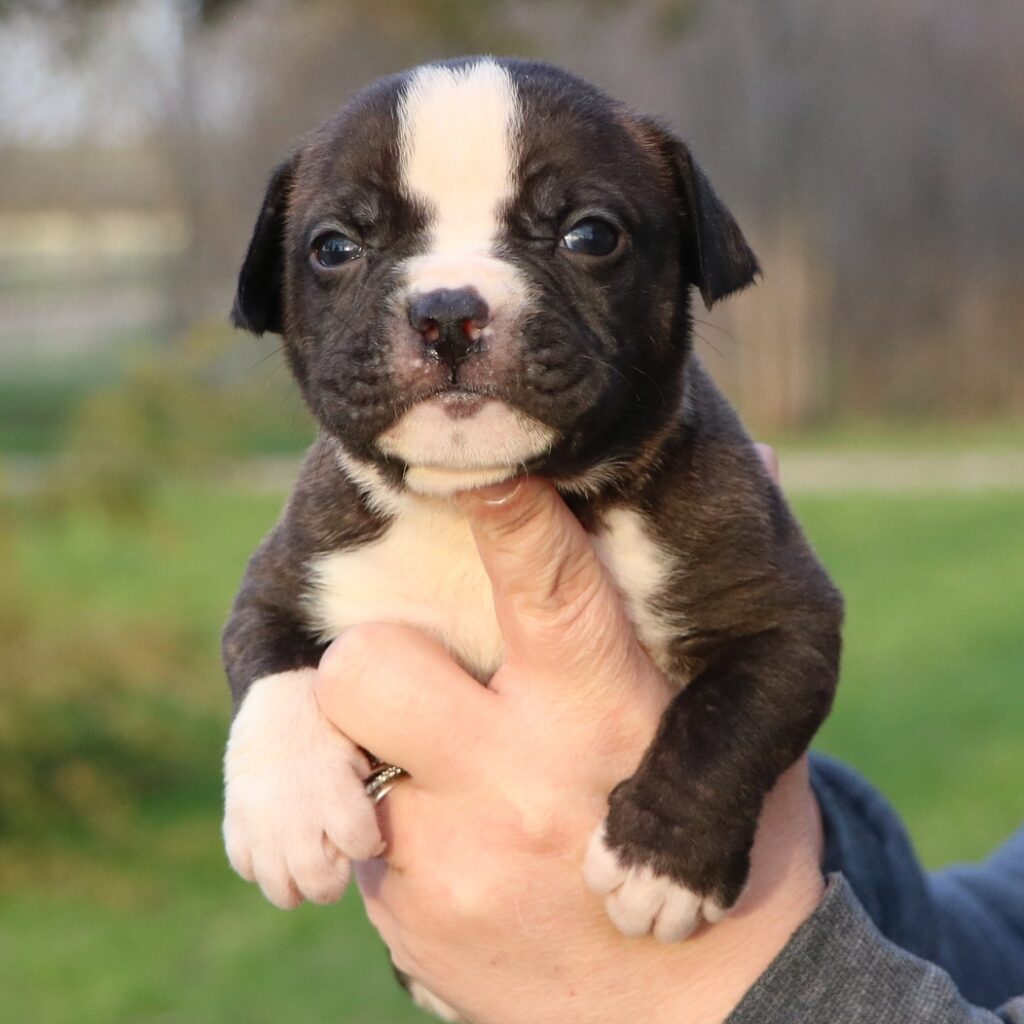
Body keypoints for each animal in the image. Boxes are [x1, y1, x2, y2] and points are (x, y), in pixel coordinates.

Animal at [222, 54, 839, 999]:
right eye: (334, 248)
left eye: (590, 236)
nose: (447, 310)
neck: (470, 506)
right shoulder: (288, 574)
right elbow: (272, 669)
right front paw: (288, 815)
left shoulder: (785, 612)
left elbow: (733, 716)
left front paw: (665, 864)